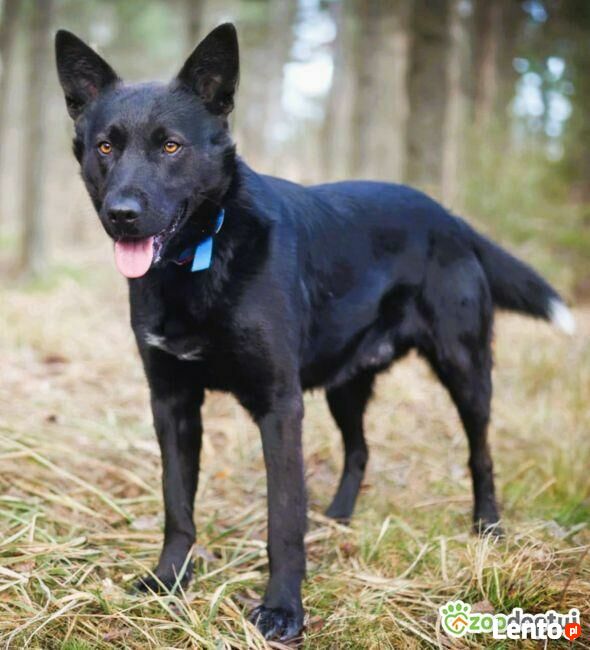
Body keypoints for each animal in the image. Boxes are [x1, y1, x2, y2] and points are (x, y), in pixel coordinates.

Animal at [55, 23, 574, 641]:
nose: (122, 214)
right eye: (106, 147)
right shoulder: (172, 401)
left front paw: (283, 610)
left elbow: (283, 519)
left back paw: (488, 529)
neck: (204, 258)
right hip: (344, 383)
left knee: (481, 454)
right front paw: (167, 582)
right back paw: (339, 519)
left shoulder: (280, 406)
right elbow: (177, 506)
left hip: (465, 369)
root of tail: (451, 219)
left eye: (171, 146)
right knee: (360, 450)